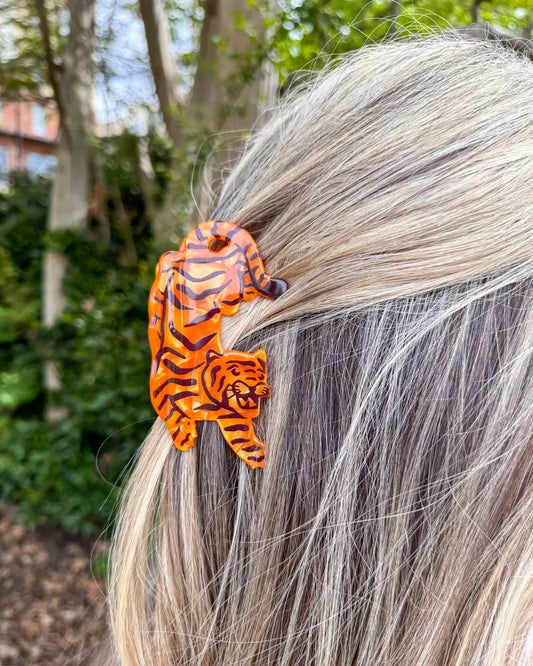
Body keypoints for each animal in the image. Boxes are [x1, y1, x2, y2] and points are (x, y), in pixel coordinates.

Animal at [147, 219, 287, 468]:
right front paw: (184, 436)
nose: (257, 387)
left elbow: (244, 443)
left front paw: (261, 459)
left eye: (261, 374)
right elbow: (168, 410)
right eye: (235, 372)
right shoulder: (158, 385)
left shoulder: (232, 418)